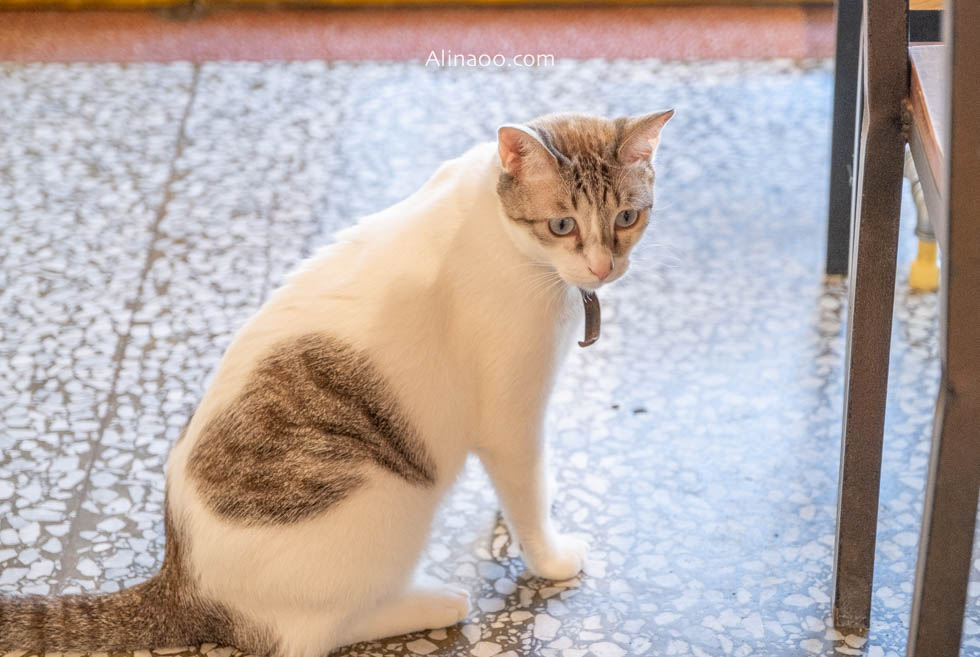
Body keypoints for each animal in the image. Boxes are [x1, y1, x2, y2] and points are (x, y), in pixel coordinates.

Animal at [0, 109, 672, 656]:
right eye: (562, 225)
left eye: (627, 218)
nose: (602, 267)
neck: (506, 232)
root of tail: (183, 581)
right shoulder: (511, 417)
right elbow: (530, 495)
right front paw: (550, 557)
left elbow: (520, 491)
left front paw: (507, 522)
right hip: (389, 507)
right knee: (310, 634)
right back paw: (434, 602)